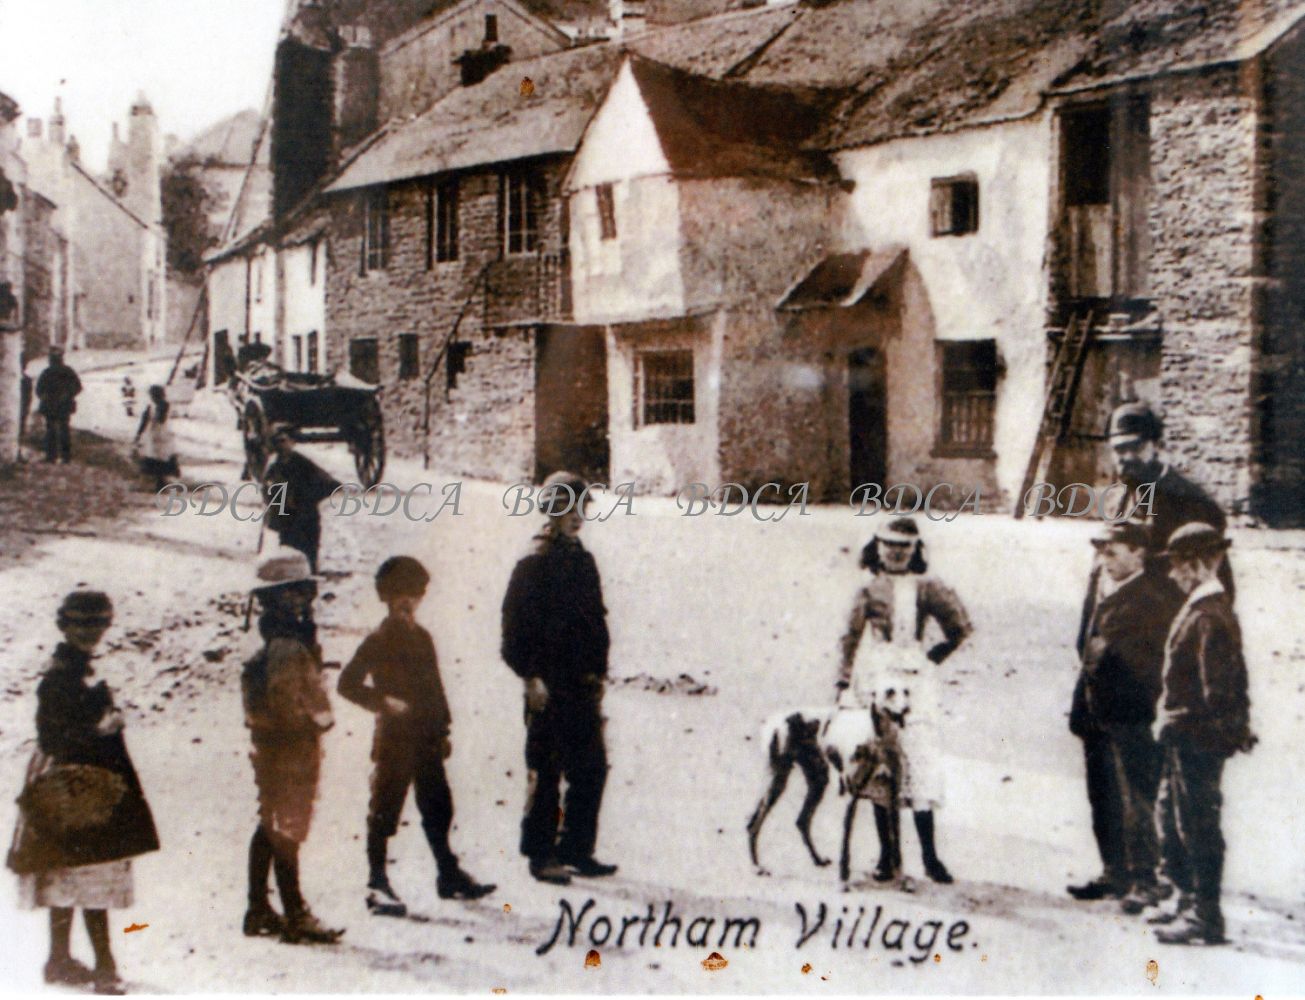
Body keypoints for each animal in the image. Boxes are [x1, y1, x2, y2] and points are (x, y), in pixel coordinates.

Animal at [747, 683, 910, 884]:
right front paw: (844, 879)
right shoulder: (850, 797)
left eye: (907, 691)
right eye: (890, 692)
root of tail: (775, 719)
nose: (906, 709)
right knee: (754, 823)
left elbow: (897, 849)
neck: (878, 740)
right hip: (777, 780)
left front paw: (903, 881)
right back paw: (757, 866)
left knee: (802, 821)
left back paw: (817, 859)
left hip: (818, 782)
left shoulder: (892, 799)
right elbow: (845, 847)